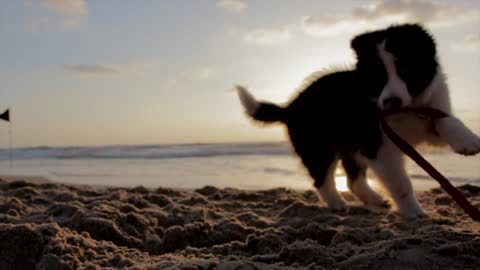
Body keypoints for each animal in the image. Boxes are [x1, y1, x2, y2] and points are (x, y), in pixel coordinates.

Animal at [236, 23, 480, 217]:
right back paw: (337, 204)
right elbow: (401, 183)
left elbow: (444, 119)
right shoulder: (379, 146)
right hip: (320, 147)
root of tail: (291, 107)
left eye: (405, 69)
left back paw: (374, 199)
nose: (391, 102)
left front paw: (467, 141)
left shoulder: (427, 117)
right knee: (322, 179)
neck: (407, 109)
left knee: (353, 180)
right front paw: (414, 212)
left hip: (350, 146)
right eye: (378, 77)